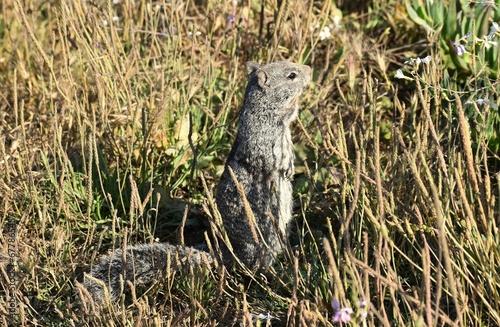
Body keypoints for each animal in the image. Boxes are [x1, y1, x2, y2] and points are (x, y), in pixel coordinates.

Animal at [80, 60, 310, 304]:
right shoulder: (263, 140)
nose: (310, 70)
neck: (275, 113)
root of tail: (231, 254)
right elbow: (272, 159)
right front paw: (286, 170)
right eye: (291, 75)